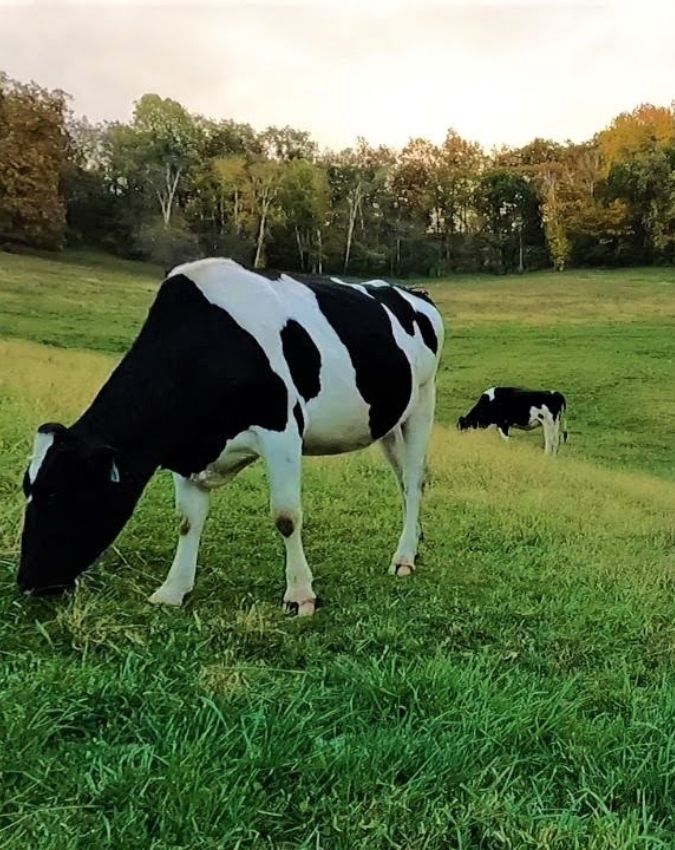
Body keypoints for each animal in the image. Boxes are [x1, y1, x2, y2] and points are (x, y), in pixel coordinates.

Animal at [17, 259, 444, 616]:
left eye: (58, 494)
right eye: (28, 489)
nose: (27, 582)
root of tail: (410, 292)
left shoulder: (282, 431)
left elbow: (286, 516)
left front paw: (300, 595)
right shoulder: (185, 449)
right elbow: (187, 520)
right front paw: (173, 589)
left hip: (422, 403)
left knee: (413, 481)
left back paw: (404, 557)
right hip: (388, 421)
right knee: (405, 480)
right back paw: (416, 542)